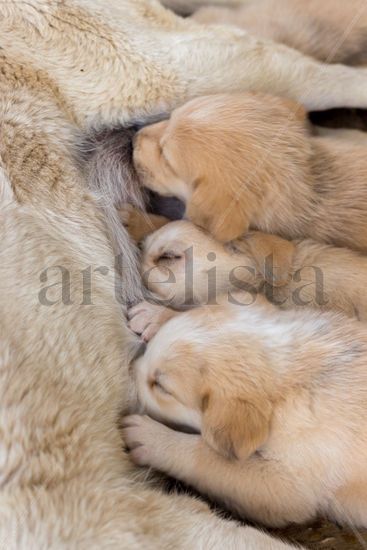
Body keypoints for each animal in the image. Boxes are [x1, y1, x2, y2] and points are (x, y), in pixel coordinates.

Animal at [123, 302, 367, 532]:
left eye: (161, 386)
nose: (128, 369)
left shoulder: (291, 485)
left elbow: (208, 458)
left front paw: (151, 438)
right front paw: (158, 315)